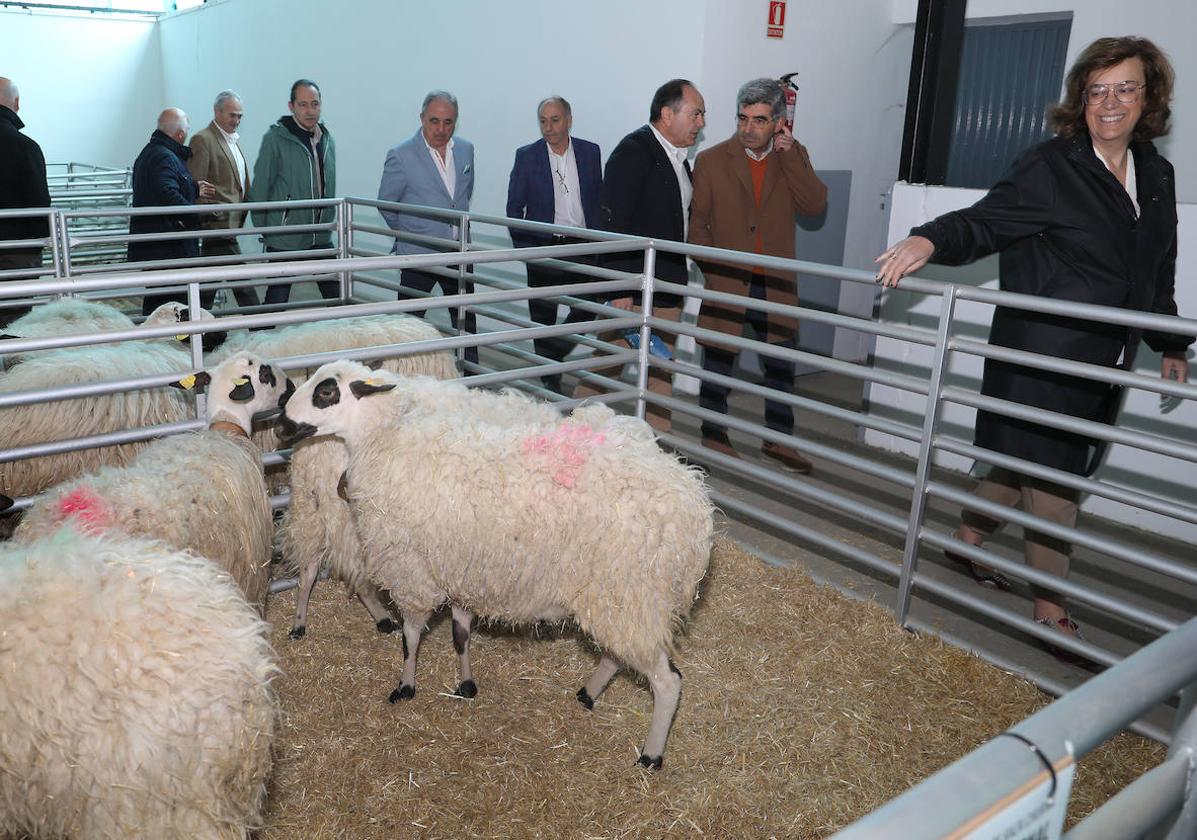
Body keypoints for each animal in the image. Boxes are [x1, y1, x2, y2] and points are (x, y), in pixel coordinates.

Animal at [275, 361, 713, 770]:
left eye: (326, 391)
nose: (281, 425)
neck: (386, 439)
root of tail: (696, 517)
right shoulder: (460, 567)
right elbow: (460, 633)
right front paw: (465, 683)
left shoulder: (412, 569)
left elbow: (411, 637)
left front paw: (406, 685)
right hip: (619, 600)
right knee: (619, 652)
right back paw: (588, 693)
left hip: (632, 594)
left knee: (667, 681)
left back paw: (651, 754)